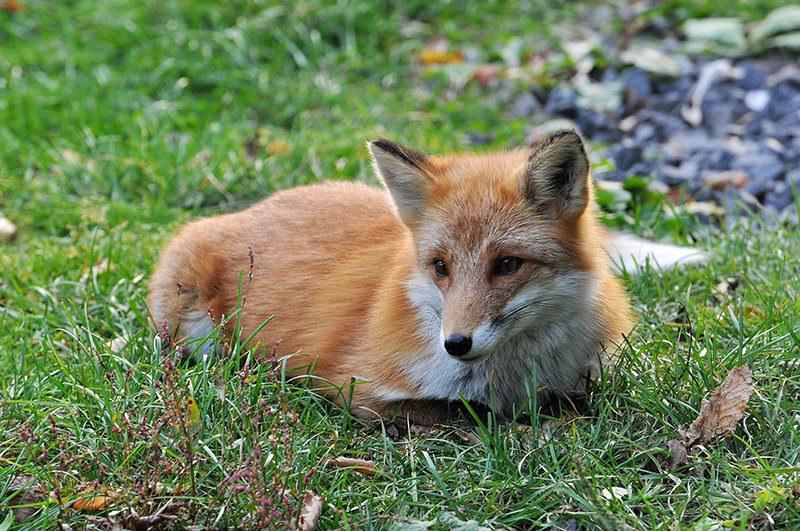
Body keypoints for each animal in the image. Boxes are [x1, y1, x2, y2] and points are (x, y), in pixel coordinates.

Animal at [147, 131, 704, 426]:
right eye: (440, 267)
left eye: (507, 264)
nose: (455, 343)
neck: (518, 373)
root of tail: (248, 209)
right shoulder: (357, 390)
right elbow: (466, 410)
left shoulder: (595, 366)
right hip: (193, 331)